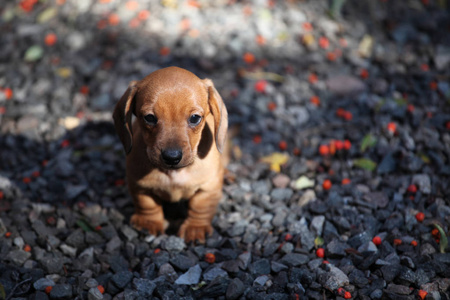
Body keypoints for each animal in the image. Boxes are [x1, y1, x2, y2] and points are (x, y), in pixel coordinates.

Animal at [111, 67, 227, 243]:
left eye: (195, 118)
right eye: (149, 118)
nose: (172, 157)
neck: (174, 173)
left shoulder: (208, 187)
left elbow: (201, 206)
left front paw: (195, 228)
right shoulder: (139, 185)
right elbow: (147, 204)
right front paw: (149, 223)